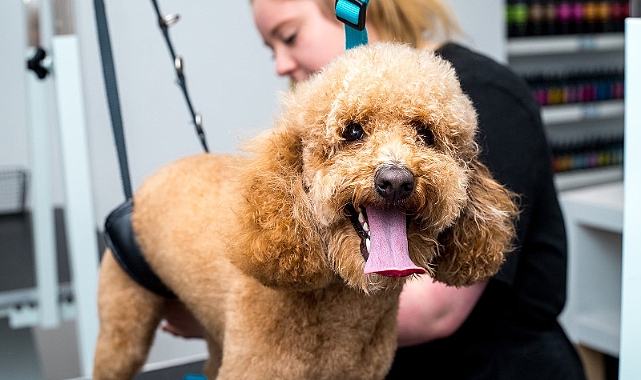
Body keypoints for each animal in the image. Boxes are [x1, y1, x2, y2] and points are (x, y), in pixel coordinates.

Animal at [92, 43, 516, 378]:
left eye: (426, 134)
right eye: (353, 131)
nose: (395, 180)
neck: (346, 312)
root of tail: (145, 185)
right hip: (122, 328)